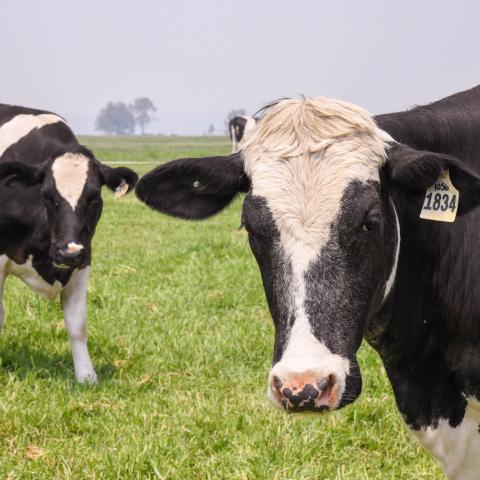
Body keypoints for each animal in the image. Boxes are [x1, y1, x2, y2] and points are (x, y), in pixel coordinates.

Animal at [0, 104, 139, 382]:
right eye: (46, 195)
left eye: (94, 197)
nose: (68, 252)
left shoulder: (84, 258)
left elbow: (77, 324)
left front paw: (87, 376)